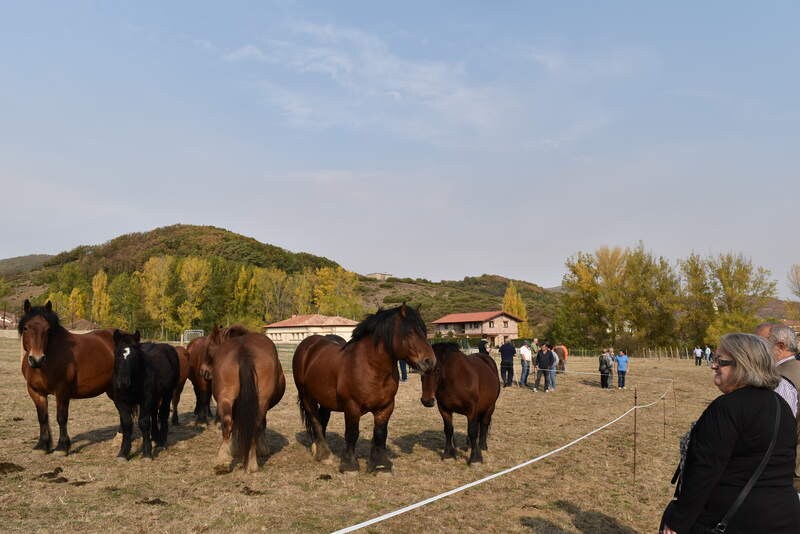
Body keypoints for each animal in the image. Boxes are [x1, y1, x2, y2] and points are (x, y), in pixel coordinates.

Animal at [18, 302, 114, 456]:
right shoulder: (36, 392)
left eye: (48, 330)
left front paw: (62, 447)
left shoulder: (62, 391)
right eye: (26, 328)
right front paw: (42, 445)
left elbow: (61, 417)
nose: (37, 359)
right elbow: (42, 417)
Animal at [111, 330, 180, 460]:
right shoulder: (121, 402)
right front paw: (123, 453)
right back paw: (155, 438)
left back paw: (161, 443)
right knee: (154, 414)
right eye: (117, 355)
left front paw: (147, 453)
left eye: (134, 356)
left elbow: (143, 422)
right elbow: (127, 424)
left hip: (167, 393)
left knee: (162, 415)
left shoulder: (146, 400)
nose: (123, 382)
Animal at [199, 326, 284, 474]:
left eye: (209, 346)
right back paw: (249, 462)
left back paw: (224, 461)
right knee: (253, 424)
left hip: (227, 398)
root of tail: (243, 348)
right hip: (259, 401)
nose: (203, 371)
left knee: (229, 423)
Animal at [290, 304, 434, 476]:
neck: (370, 367)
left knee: (322, 419)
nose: (430, 362)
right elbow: (352, 433)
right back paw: (324, 455)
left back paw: (318, 448)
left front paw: (380, 465)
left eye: (424, 331)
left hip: (325, 399)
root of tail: (308, 344)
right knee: (315, 421)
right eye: (410, 332)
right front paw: (349, 465)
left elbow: (380, 434)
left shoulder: (386, 407)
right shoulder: (352, 407)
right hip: (307, 396)